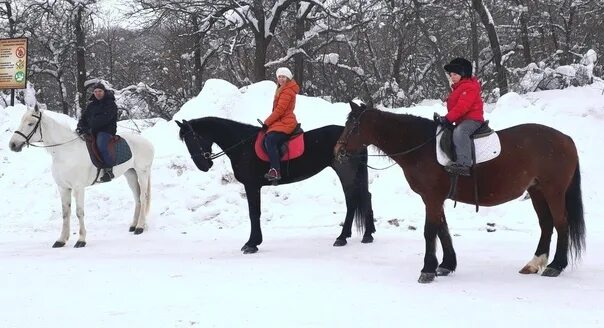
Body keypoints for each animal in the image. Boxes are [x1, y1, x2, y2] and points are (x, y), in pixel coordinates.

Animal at [8, 106, 155, 247]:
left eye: (30, 123)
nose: (12, 145)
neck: (66, 152)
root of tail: (146, 141)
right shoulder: (63, 188)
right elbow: (65, 213)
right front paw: (61, 240)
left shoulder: (78, 188)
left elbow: (79, 212)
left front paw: (81, 240)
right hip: (130, 174)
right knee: (137, 199)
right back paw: (134, 225)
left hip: (142, 172)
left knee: (143, 197)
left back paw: (140, 227)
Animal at [175, 117, 376, 254]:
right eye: (186, 142)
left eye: (193, 139)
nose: (203, 166)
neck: (242, 145)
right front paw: (254, 242)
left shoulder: (252, 186)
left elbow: (254, 213)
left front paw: (252, 244)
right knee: (365, 196)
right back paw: (367, 234)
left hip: (346, 171)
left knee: (352, 200)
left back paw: (343, 237)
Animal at [336, 101, 584, 284]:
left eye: (353, 126)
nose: (338, 151)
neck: (422, 148)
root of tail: (566, 139)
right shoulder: (434, 199)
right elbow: (442, 230)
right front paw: (446, 265)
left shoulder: (432, 198)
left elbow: (430, 231)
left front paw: (427, 269)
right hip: (537, 191)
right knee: (546, 224)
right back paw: (534, 263)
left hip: (553, 191)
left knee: (561, 223)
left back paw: (556, 266)